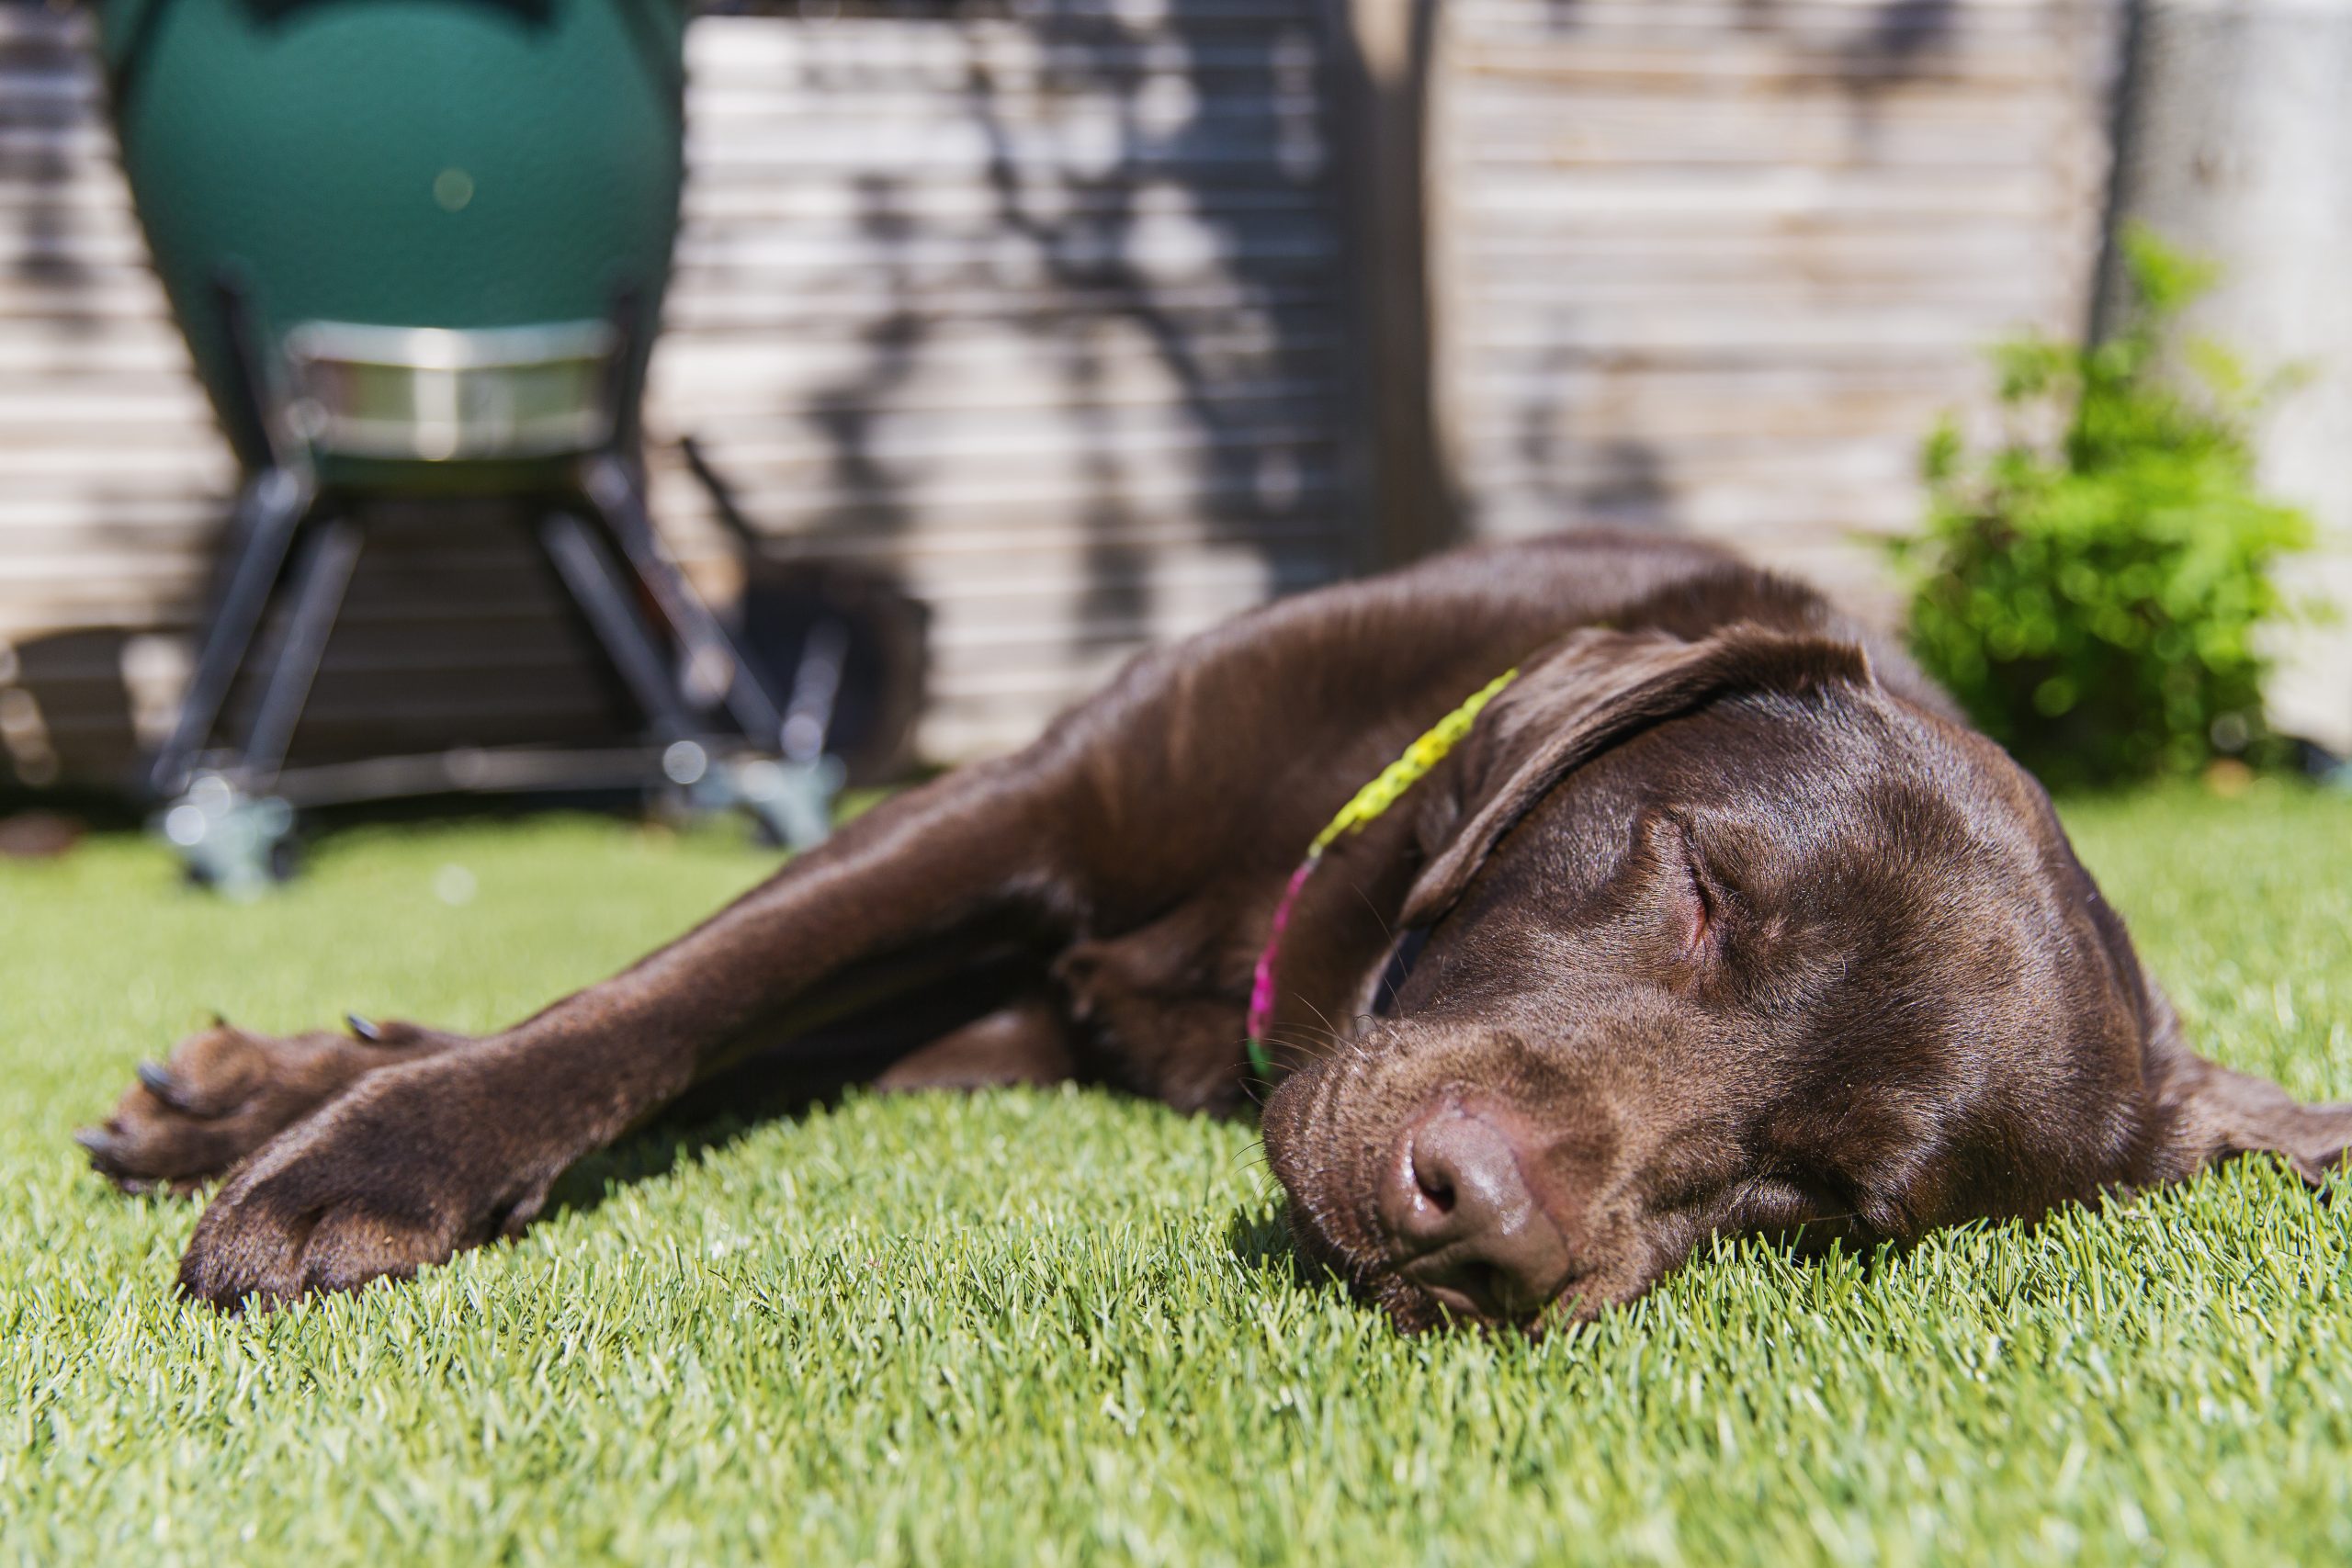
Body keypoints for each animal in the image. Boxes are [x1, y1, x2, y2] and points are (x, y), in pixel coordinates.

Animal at [74, 533, 2352, 1335]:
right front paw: (367, 1152)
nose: (1482, 1224)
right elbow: (667, 996)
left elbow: (729, 1032)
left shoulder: (996, 1018)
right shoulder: (1009, 809)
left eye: (1824, 1199)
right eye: (1703, 884)